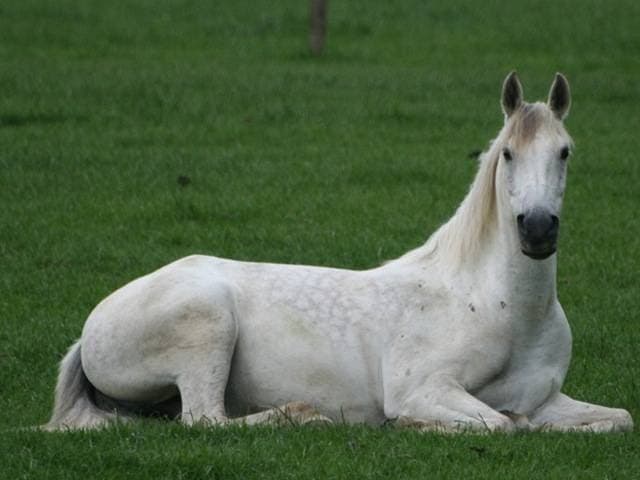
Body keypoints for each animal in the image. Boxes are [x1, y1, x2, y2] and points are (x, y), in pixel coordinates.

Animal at [44, 72, 633, 433]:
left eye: (565, 152)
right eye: (508, 154)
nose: (537, 229)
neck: (502, 307)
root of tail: (91, 327)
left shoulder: (547, 400)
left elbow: (618, 417)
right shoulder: (424, 388)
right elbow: (498, 423)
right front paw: (414, 428)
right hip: (207, 323)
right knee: (206, 419)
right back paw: (301, 415)